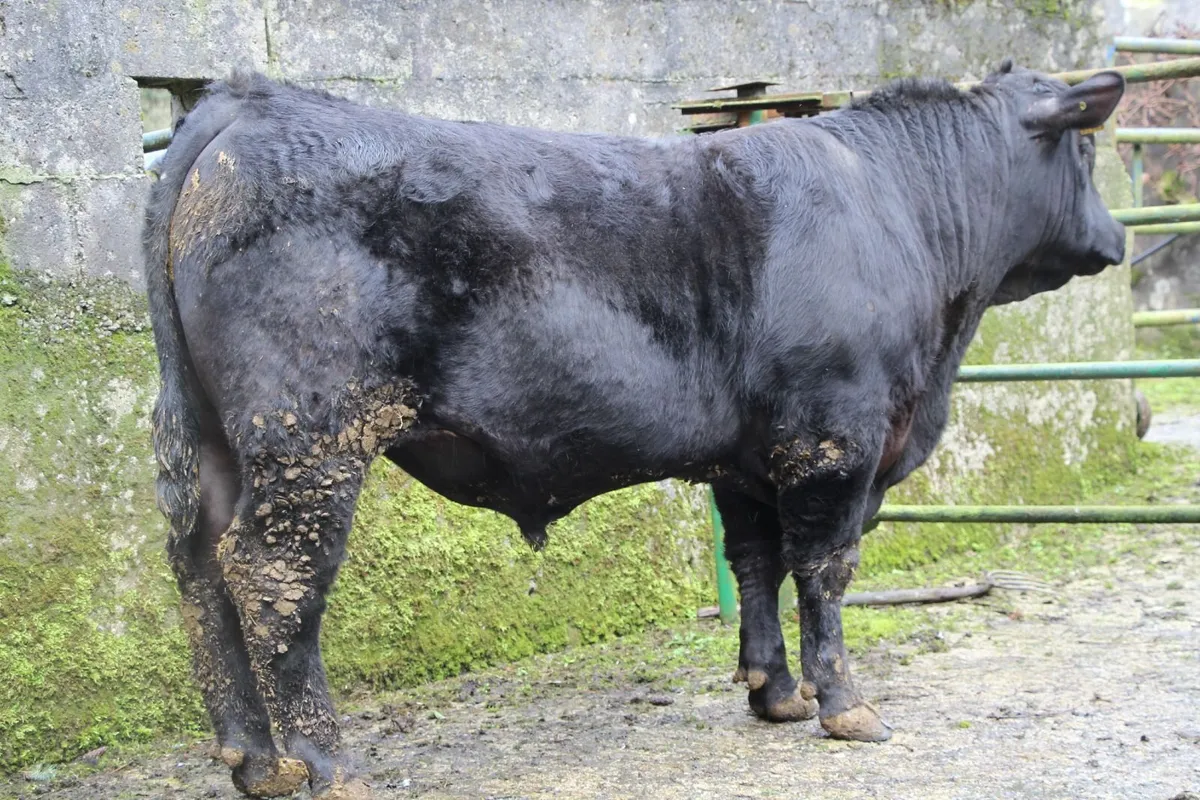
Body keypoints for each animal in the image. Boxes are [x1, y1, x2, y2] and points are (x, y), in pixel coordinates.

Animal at [144, 60, 1126, 798]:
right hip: (309, 433)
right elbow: (824, 570)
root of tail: (246, 101)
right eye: (1085, 148)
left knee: (199, 568)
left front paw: (773, 692)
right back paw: (325, 763)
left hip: (214, 438)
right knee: (270, 577)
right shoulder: (835, 439)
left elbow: (757, 562)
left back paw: (252, 759)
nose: (1118, 240)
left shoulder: (750, 457)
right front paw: (843, 702)